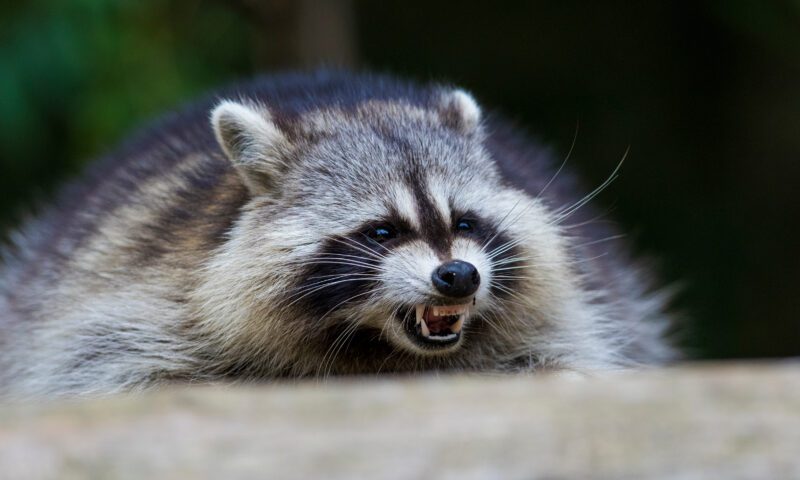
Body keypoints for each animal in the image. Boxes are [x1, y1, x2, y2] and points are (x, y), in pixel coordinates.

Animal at [0, 71, 675, 398]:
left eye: (464, 222)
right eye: (381, 231)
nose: (458, 276)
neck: (379, 347)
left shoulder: (574, 309)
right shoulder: (140, 287)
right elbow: (108, 368)